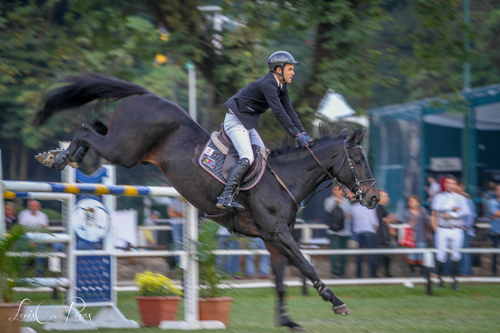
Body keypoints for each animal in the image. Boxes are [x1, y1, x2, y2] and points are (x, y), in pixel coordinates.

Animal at [34, 73, 378, 330]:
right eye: (358, 160)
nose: (374, 197)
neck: (285, 180)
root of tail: (147, 95)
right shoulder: (280, 234)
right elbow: (307, 265)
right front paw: (336, 302)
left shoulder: (272, 238)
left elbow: (280, 279)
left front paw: (286, 321)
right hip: (124, 151)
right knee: (85, 129)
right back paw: (60, 157)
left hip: (127, 147)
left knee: (94, 125)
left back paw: (64, 155)